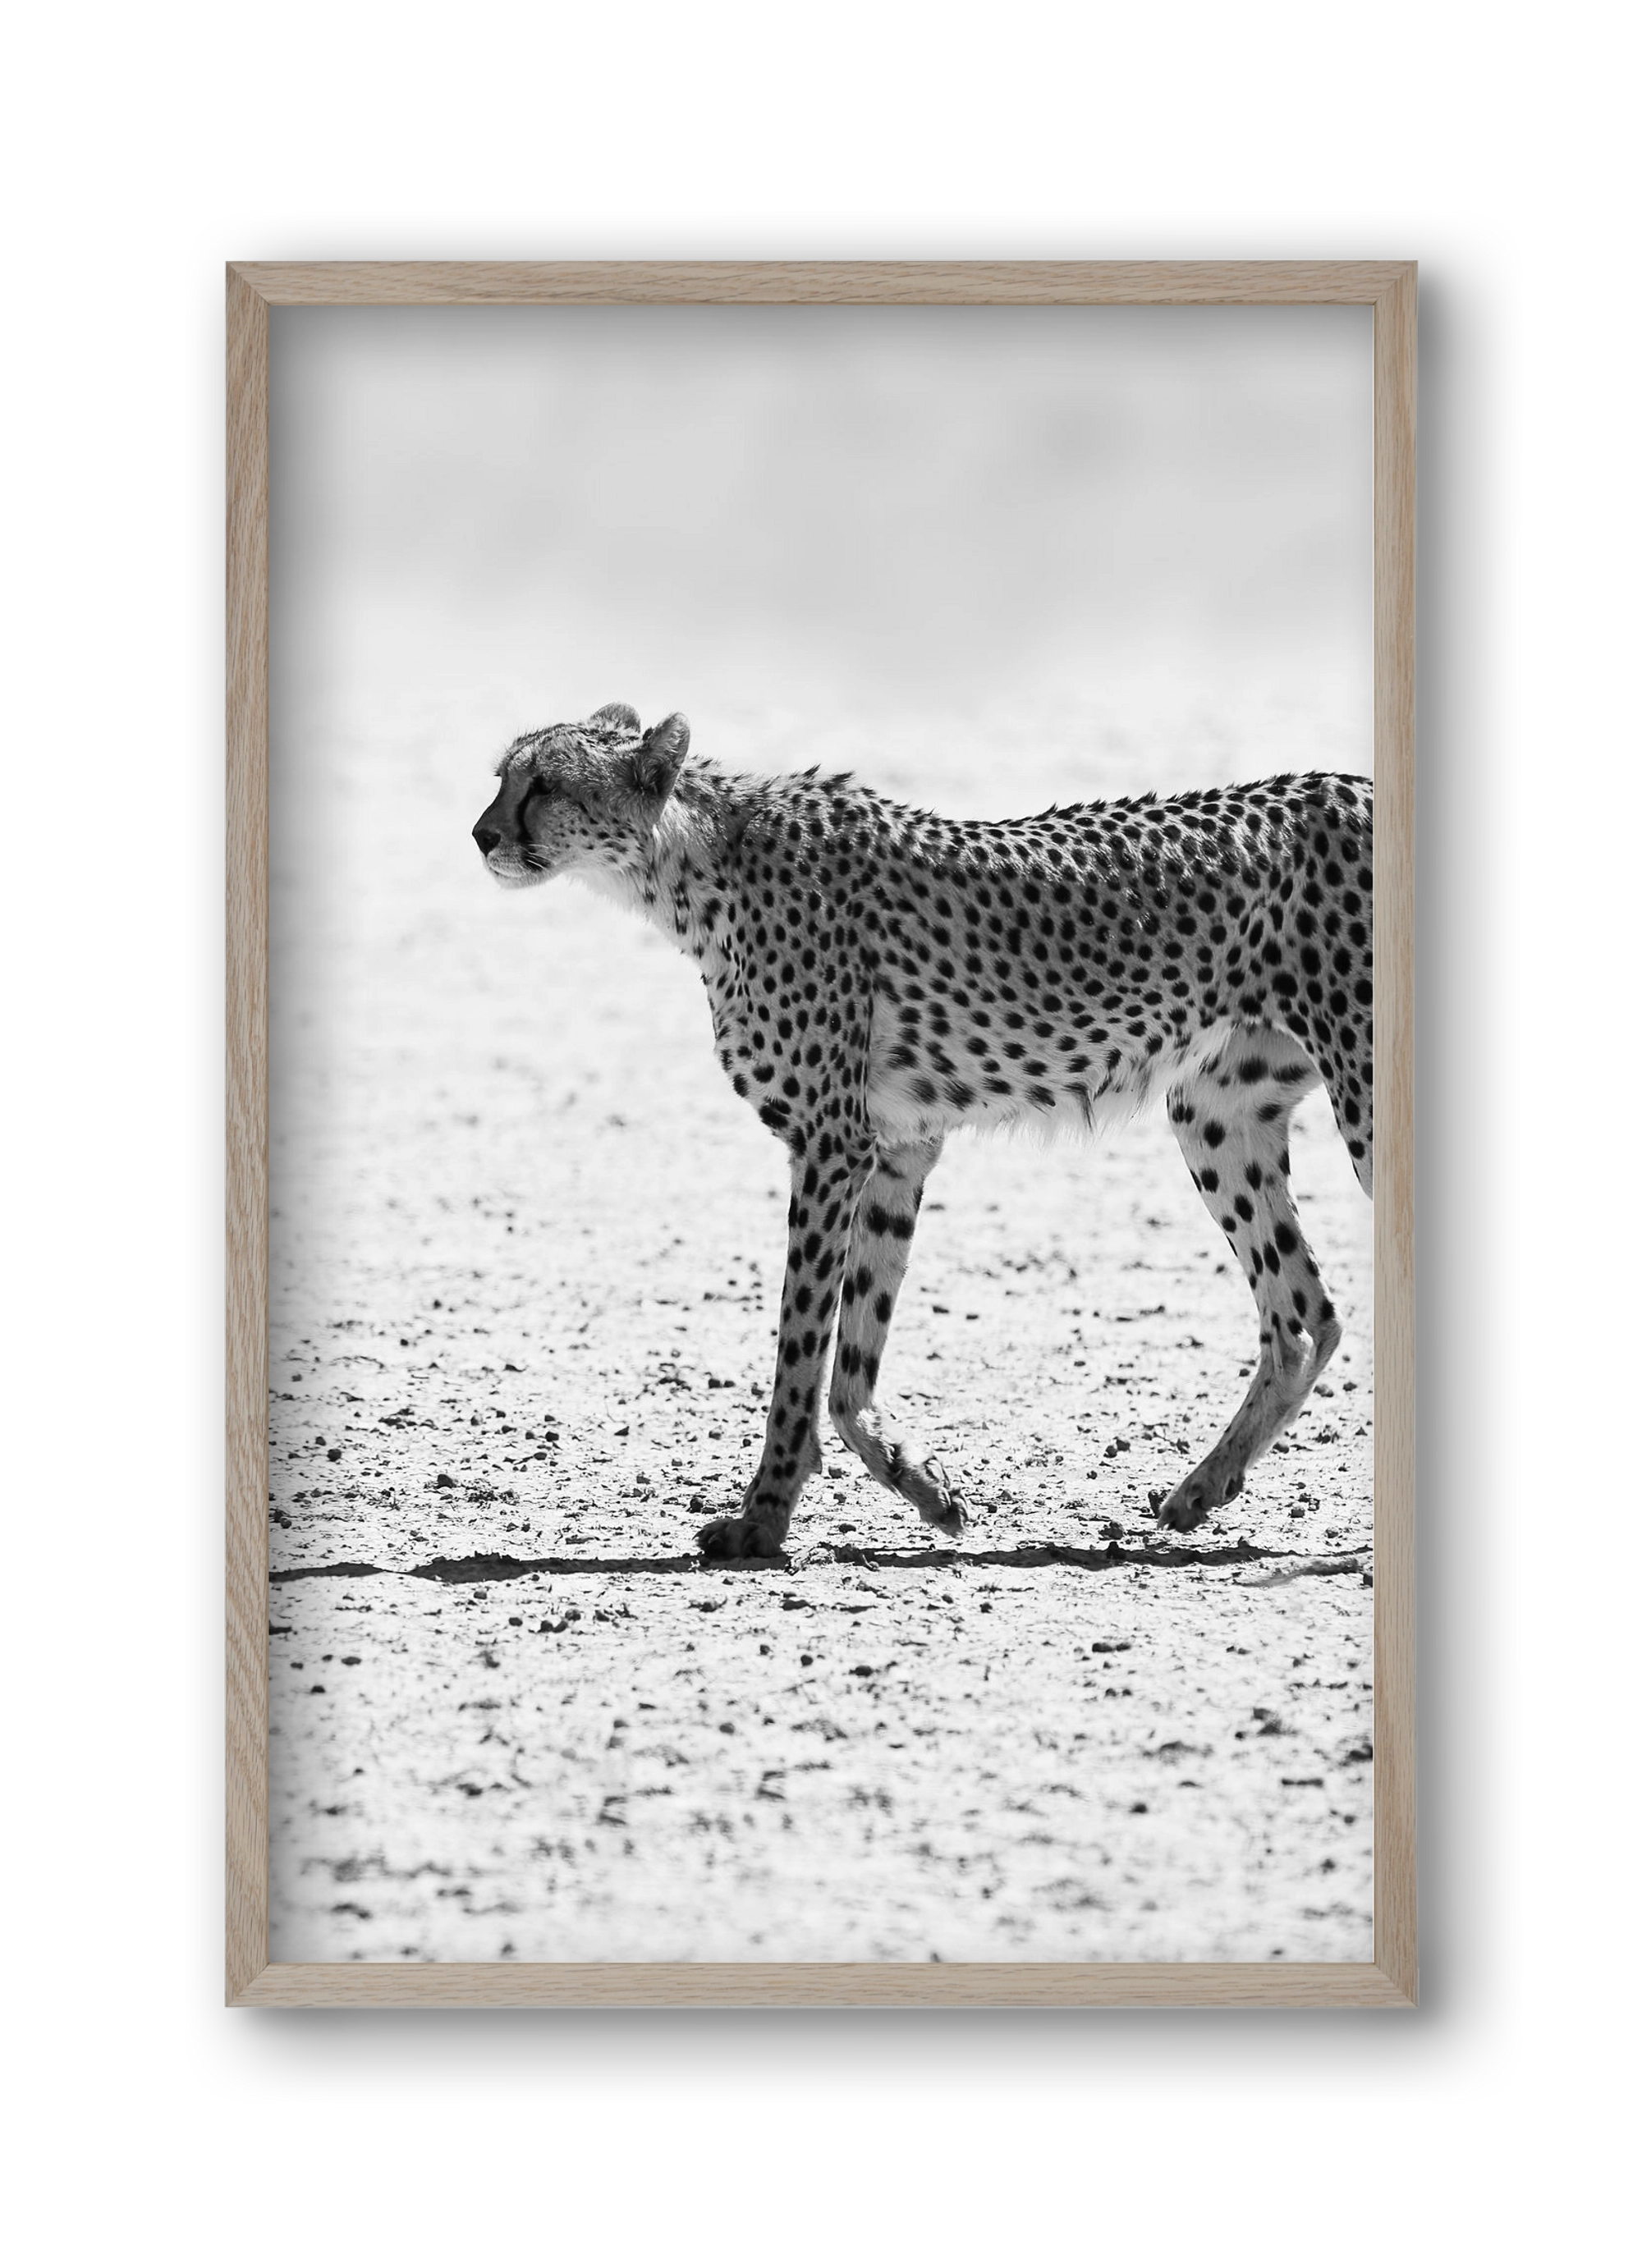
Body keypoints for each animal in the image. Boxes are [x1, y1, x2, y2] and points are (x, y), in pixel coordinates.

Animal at [472, 702, 1373, 1562]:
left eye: (545, 784)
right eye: (502, 776)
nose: (481, 834)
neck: (691, 863)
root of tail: (1351, 781)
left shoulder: (830, 1145)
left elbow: (800, 1349)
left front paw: (761, 1519)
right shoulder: (897, 1148)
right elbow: (850, 1364)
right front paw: (926, 1487)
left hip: (1358, 1096)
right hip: (1215, 1112)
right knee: (1302, 1316)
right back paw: (1200, 1489)